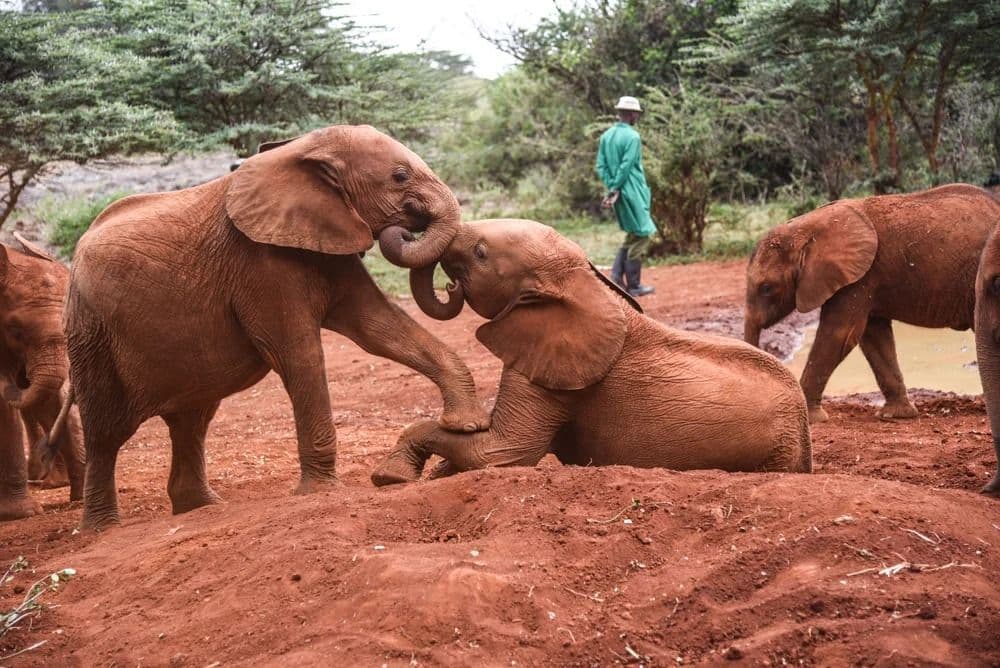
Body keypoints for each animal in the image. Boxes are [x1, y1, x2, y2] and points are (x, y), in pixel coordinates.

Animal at [65, 125, 489, 530]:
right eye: (400, 176)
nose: (452, 284)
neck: (304, 149)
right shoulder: (260, 262)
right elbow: (299, 354)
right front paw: (320, 492)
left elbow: (379, 328)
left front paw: (466, 425)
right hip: (89, 332)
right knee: (105, 433)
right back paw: (102, 528)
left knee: (192, 421)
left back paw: (203, 508)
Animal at [370, 219, 811, 485]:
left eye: (480, 253)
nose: (450, 286)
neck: (580, 281)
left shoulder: (551, 370)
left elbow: (503, 451)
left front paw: (391, 478)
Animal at [744, 184, 1000, 424]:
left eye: (767, 288)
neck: (805, 227)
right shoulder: (865, 279)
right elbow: (872, 336)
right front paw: (896, 415)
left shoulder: (860, 278)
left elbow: (838, 334)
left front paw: (809, 417)